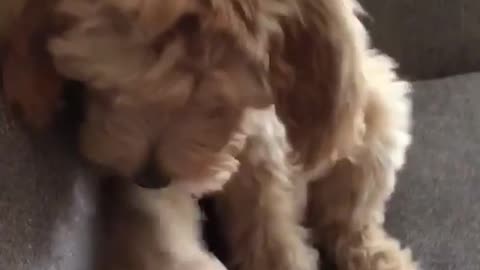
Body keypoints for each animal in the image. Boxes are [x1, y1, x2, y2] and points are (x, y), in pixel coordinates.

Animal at [3, 0, 418, 270]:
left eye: (216, 100)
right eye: (107, 82)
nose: (149, 177)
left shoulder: (263, 144)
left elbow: (271, 223)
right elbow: (163, 227)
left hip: (378, 113)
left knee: (351, 213)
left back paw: (377, 254)